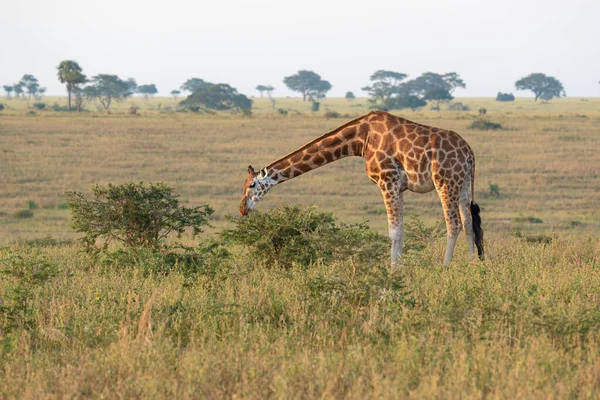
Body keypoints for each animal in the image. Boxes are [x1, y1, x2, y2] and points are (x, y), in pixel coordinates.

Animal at [239, 110, 482, 266]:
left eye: (251, 185)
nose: (242, 209)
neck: (360, 139)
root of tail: (469, 152)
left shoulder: (388, 180)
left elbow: (393, 232)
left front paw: (393, 271)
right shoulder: (398, 187)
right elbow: (401, 231)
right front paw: (401, 267)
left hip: (445, 181)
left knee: (454, 224)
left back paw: (446, 267)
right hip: (462, 184)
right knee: (468, 222)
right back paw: (471, 266)